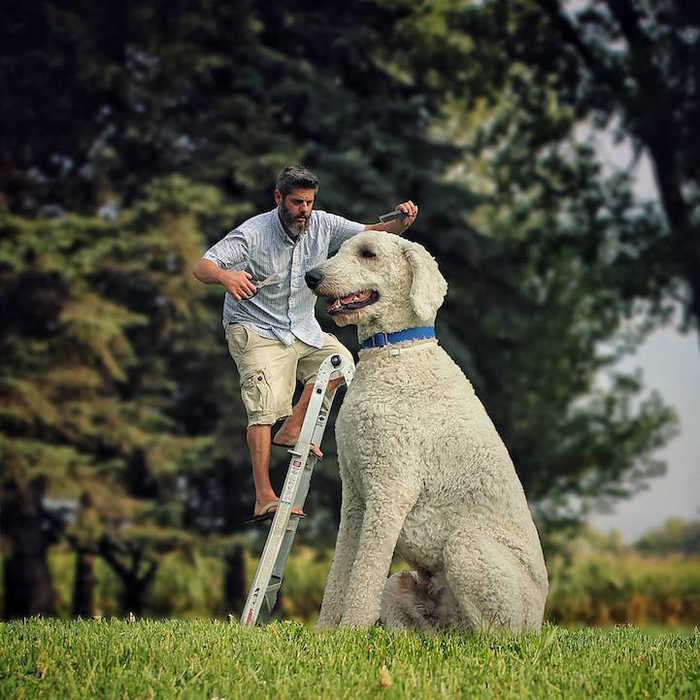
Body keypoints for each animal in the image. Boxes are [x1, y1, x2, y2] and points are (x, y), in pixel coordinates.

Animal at [304, 232, 548, 632]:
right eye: (339, 250)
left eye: (368, 254)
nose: (311, 276)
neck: (396, 351)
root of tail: (539, 620)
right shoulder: (355, 494)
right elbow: (340, 572)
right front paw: (325, 634)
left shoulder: (389, 491)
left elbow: (363, 577)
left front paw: (351, 631)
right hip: (402, 585)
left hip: (469, 549)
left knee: (493, 634)